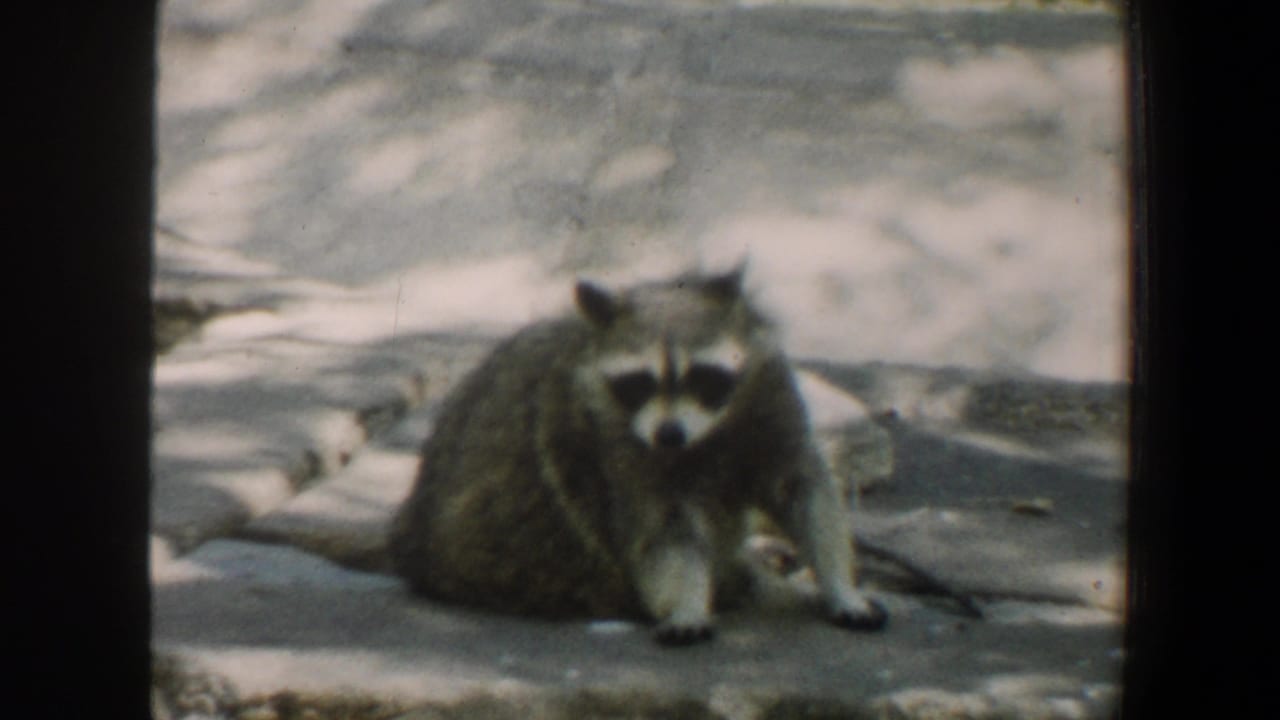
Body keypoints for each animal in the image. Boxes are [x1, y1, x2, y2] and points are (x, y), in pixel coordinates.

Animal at [388, 267, 888, 645]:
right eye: (640, 383)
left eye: (702, 377)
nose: (668, 434)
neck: (706, 432)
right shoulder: (615, 449)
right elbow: (664, 533)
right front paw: (685, 602)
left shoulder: (770, 399)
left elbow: (805, 491)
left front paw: (840, 584)